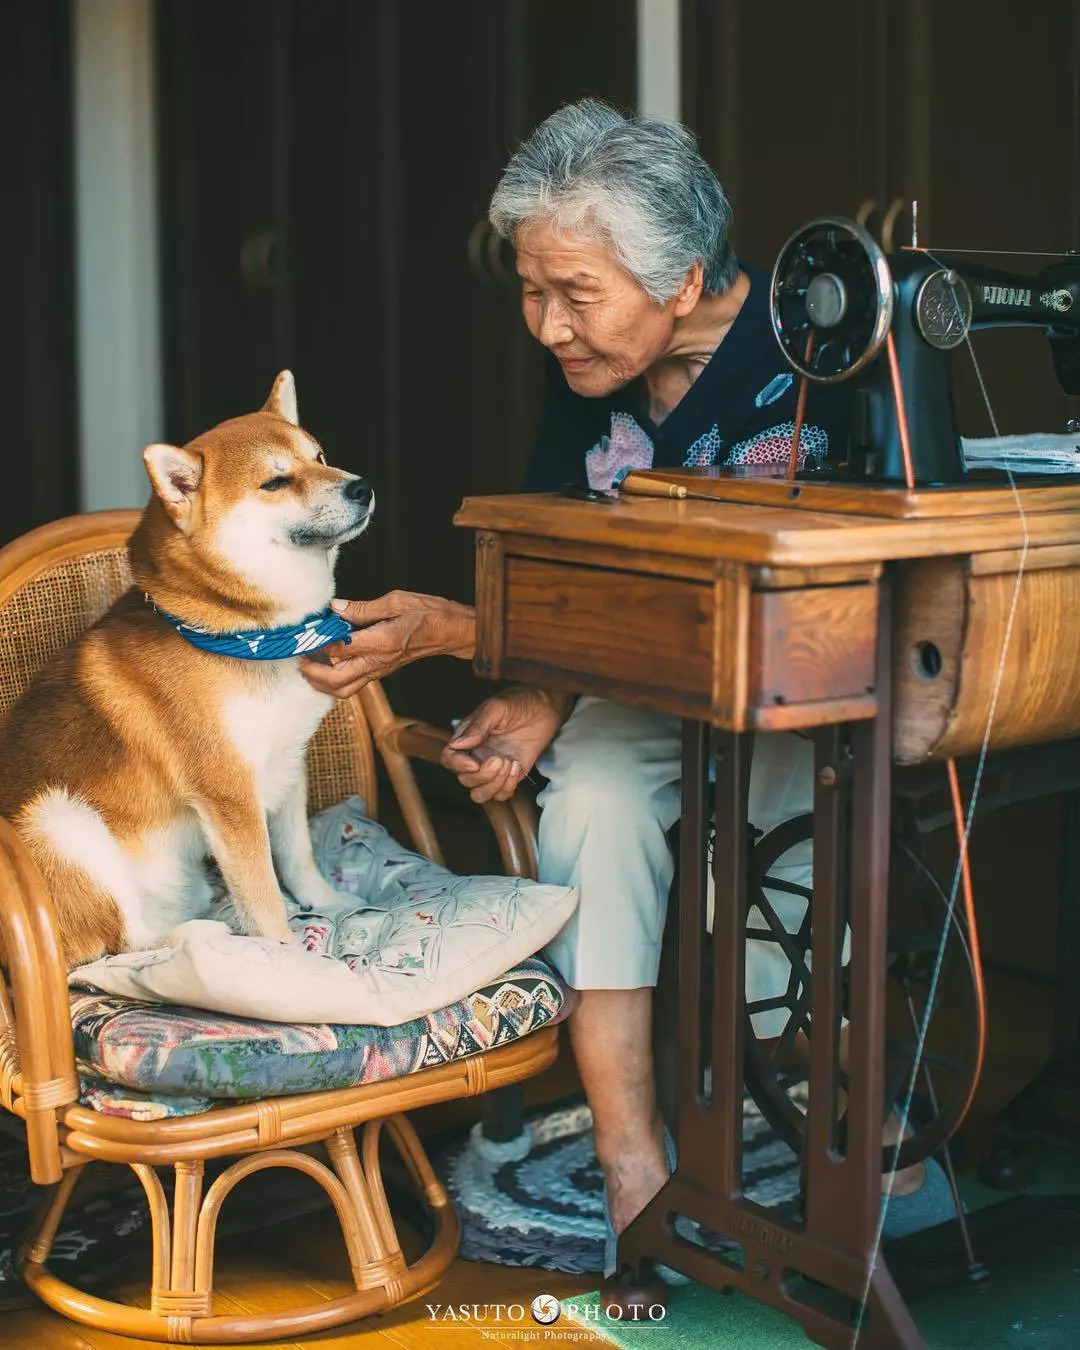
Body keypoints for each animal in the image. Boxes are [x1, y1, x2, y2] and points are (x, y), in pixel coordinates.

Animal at [0, 375, 372, 966]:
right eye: (275, 481)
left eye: (319, 457)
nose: (362, 488)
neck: (251, 637)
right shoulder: (229, 793)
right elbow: (264, 895)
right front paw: (287, 958)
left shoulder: (288, 764)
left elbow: (297, 858)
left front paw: (329, 903)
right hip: (57, 821)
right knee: (118, 945)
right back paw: (200, 937)